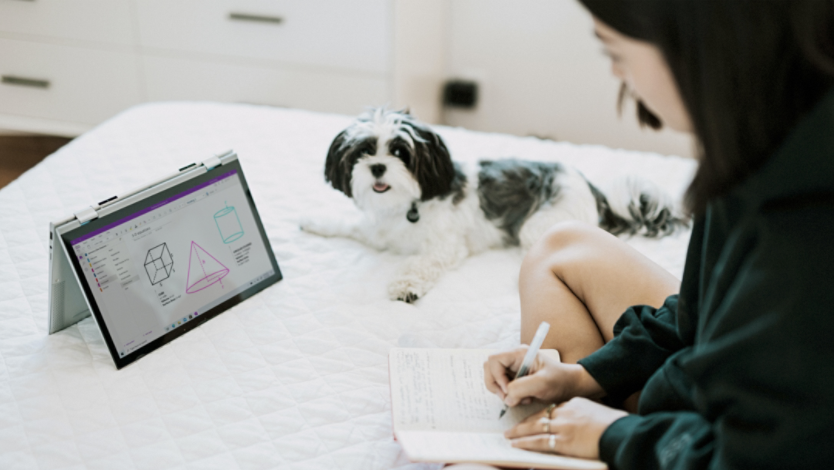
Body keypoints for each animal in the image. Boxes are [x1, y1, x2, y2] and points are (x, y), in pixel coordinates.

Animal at [302, 108, 684, 302]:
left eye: (400, 152)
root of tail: (592, 188)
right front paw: (314, 222)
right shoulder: (377, 232)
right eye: (363, 151)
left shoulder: (444, 246)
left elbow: (420, 262)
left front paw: (406, 285)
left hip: (539, 224)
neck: (403, 207)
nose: (378, 167)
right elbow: (348, 225)